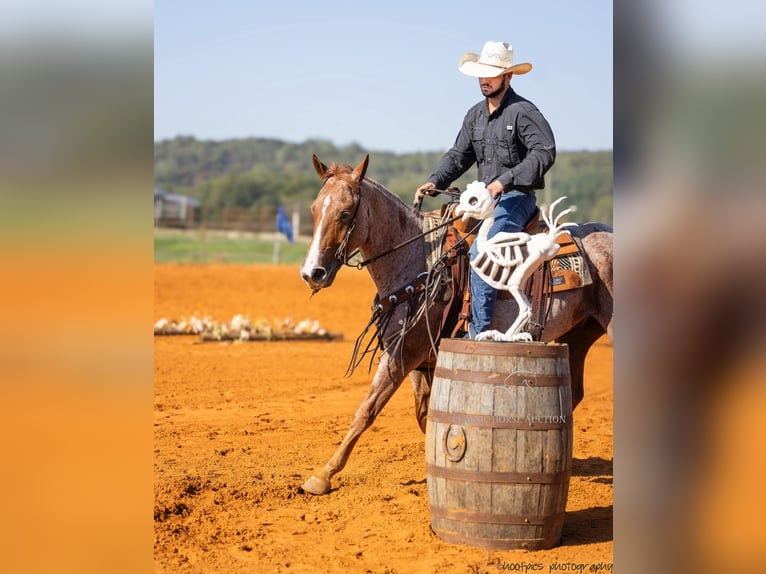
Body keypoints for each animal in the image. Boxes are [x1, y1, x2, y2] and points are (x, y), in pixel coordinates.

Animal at [296, 155, 616, 498]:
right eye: (314, 208)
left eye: (345, 213)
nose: (311, 273)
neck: (419, 261)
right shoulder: (418, 358)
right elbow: (425, 413)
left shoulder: (403, 353)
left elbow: (367, 409)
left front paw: (323, 475)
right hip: (579, 334)